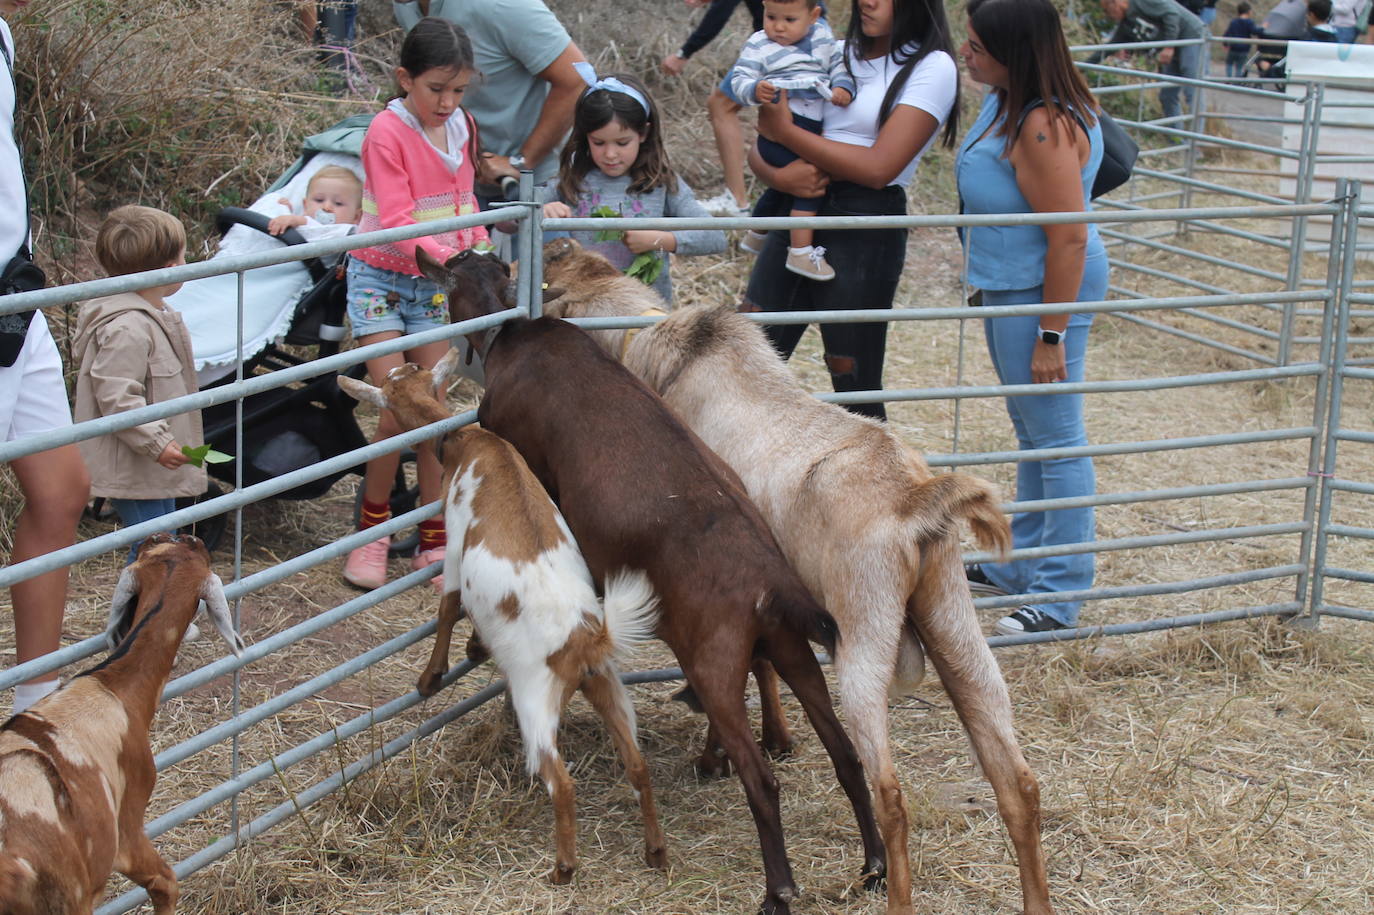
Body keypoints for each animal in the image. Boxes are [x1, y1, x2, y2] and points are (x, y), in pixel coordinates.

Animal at [417, 245, 884, 906]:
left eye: (453, 277)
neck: (515, 336)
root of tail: (773, 584)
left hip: (714, 657)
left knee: (762, 777)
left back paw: (779, 888)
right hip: (790, 650)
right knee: (846, 755)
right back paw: (872, 865)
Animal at [541, 236, 1055, 912]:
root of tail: (918, 499)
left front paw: (721, 755)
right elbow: (761, 665)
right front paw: (772, 738)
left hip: (865, 634)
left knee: (890, 792)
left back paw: (886, 884)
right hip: (953, 620)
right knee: (1017, 777)